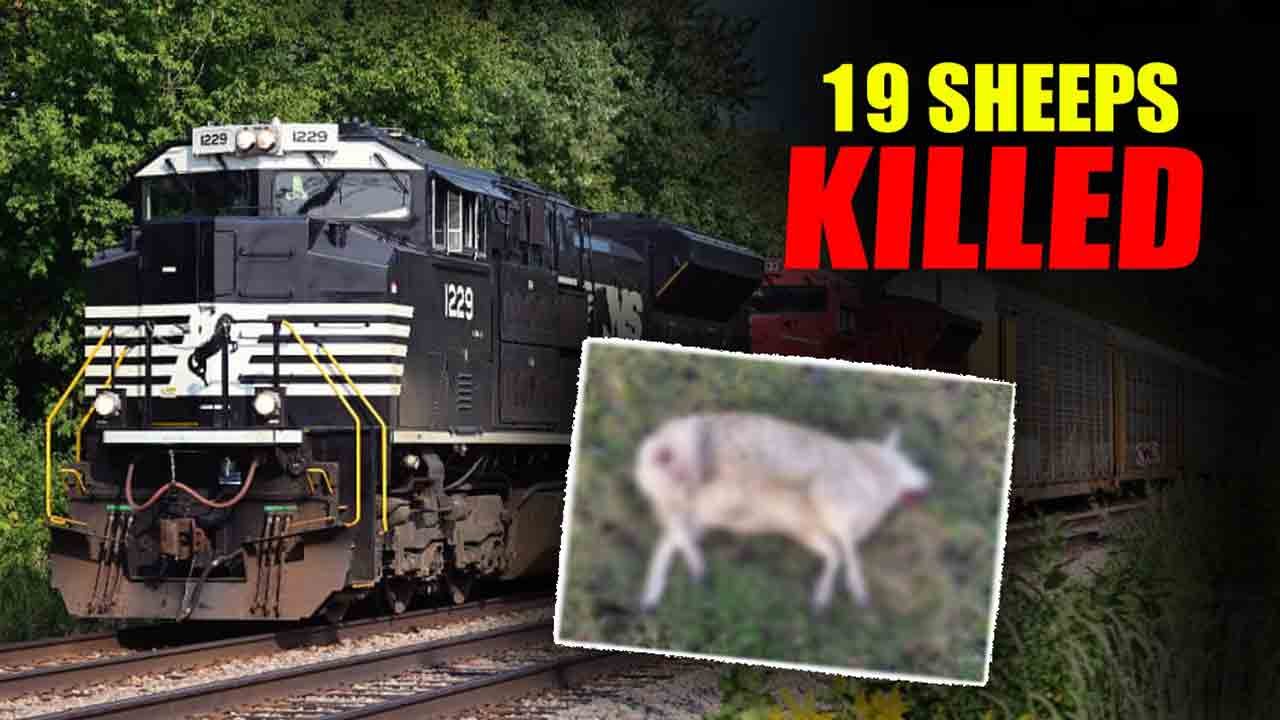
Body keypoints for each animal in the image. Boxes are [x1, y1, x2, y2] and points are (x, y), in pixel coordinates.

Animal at [633, 412, 930, 614]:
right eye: (911, 462)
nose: (930, 482)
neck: (872, 474)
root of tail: (654, 448)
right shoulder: (831, 503)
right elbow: (848, 551)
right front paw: (858, 590)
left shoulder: (810, 530)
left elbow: (835, 554)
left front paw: (821, 598)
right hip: (691, 461)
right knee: (675, 529)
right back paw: (696, 567)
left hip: (697, 512)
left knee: (669, 540)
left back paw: (656, 592)